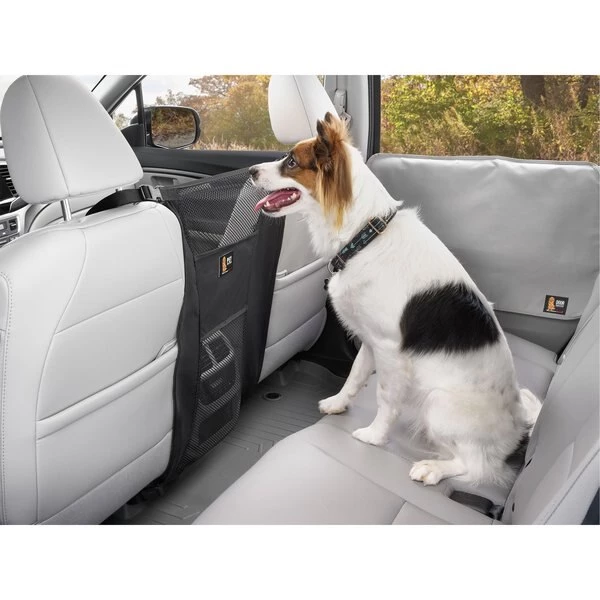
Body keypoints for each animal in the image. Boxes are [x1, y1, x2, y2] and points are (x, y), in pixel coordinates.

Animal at [249, 112, 541, 487]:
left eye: (290, 162)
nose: (250, 171)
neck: (366, 237)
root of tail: (518, 432)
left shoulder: (389, 349)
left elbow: (385, 398)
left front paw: (375, 436)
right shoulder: (369, 340)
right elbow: (355, 376)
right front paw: (338, 403)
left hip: (438, 404)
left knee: (477, 466)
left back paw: (432, 468)